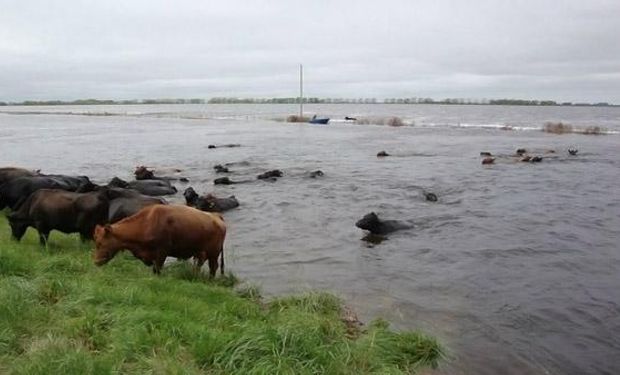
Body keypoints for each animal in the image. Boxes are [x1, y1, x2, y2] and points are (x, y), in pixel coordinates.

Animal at [92, 204, 228, 278]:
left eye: (100, 243)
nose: (96, 262)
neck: (146, 222)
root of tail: (216, 216)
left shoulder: (162, 252)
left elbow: (157, 270)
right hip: (202, 252)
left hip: (213, 253)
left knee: (213, 268)